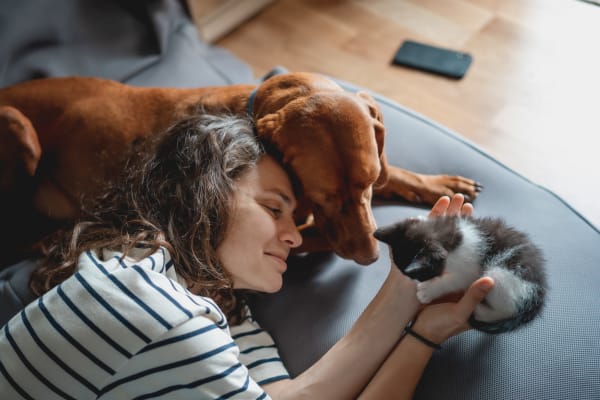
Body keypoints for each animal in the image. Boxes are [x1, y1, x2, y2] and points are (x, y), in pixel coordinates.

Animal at [0, 72, 478, 266]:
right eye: (321, 195)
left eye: (367, 183)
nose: (370, 259)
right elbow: (314, 238)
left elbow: (395, 173)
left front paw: (438, 181)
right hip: (18, 127)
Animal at [376, 214, 548, 332]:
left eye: (420, 275)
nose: (416, 282)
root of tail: (539, 294)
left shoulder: (470, 270)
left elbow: (454, 281)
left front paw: (427, 291)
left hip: (501, 275)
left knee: (507, 308)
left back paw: (481, 311)